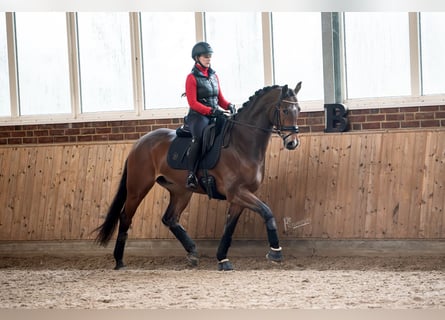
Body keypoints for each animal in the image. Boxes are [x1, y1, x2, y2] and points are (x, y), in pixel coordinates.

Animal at [93, 82, 302, 270]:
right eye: (284, 110)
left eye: (298, 109)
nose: (292, 143)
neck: (241, 144)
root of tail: (138, 143)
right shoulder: (237, 193)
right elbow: (267, 212)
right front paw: (275, 253)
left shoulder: (239, 197)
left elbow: (229, 228)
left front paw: (222, 259)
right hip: (138, 188)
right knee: (125, 217)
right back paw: (119, 261)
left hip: (181, 191)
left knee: (170, 218)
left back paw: (192, 252)